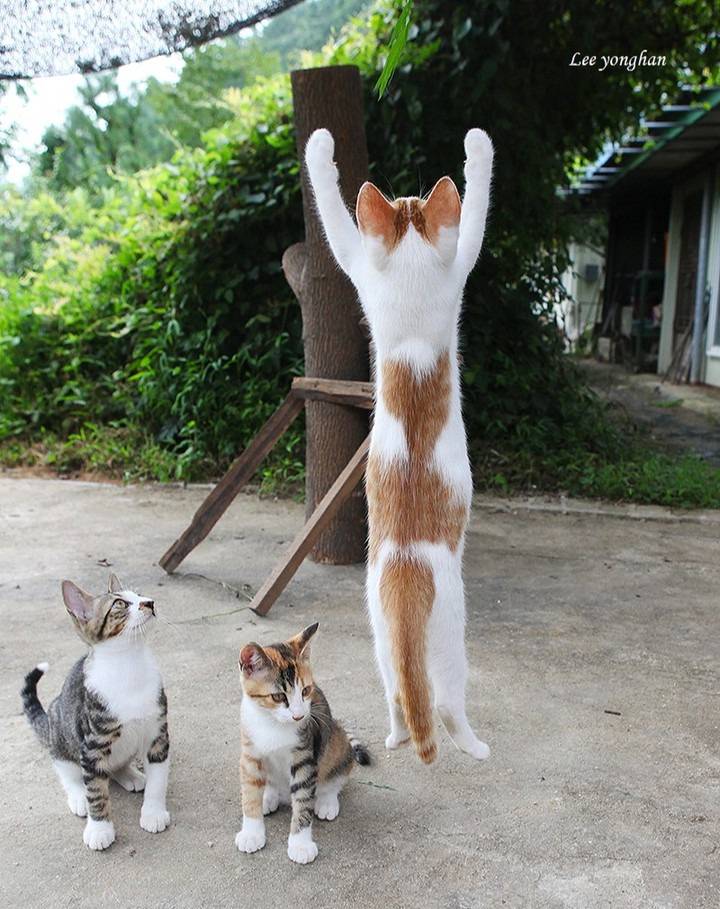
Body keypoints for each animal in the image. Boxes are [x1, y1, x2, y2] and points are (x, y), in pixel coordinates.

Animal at [21, 576, 171, 852]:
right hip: (61, 730)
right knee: (67, 770)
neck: (129, 666)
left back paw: (130, 775)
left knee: (116, 765)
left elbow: (158, 780)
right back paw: (78, 796)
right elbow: (97, 792)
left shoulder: (158, 734)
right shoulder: (92, 746)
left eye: (139, 595)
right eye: (120, 604)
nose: (150, 602)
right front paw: (99, 829)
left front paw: (153, 812)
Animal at [235, 624, 372, 864]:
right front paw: (251, 832)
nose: (299, 716)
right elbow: (249, 792)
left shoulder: (305, 755)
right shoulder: (250, 754)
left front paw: (300, 844)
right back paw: (268, 796)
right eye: (278, 696)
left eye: (306, 690)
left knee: (335, 778)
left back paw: (326, 801)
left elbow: (303, 800)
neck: (272, 723)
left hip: (336, 742)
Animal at [304, 126, 496, 768]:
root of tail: (408, 574)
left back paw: (392, 736)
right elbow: (480, 200)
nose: (409, 193)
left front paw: (318, 149)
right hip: (453, 638)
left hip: (380, 638)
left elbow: (331, 211)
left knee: (396, 696)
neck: (411, 271)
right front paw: (478, 148)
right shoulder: (460, 259)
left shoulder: (359, 264)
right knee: (444, 704)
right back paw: (473, 747)